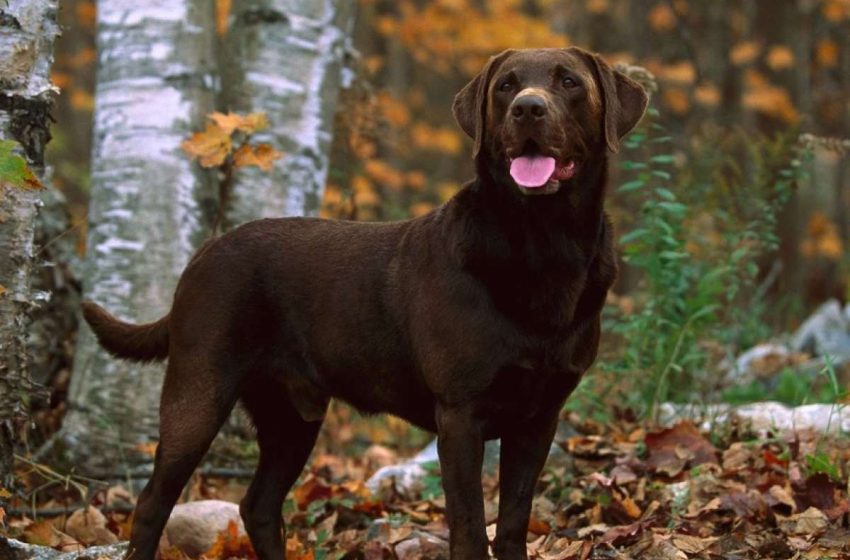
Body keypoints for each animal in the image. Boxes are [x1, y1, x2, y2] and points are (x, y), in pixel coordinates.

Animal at [84, 48, 644, 560]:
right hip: (198, 391)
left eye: (569, 82)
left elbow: (512, 523)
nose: (528, 108)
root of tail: (201, 254)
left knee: (258, 506)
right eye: (506, 86)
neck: (543, 245)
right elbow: (468, 526)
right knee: (153, 502)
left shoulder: (540, 416)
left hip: (293, 415)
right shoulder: (460, 415)